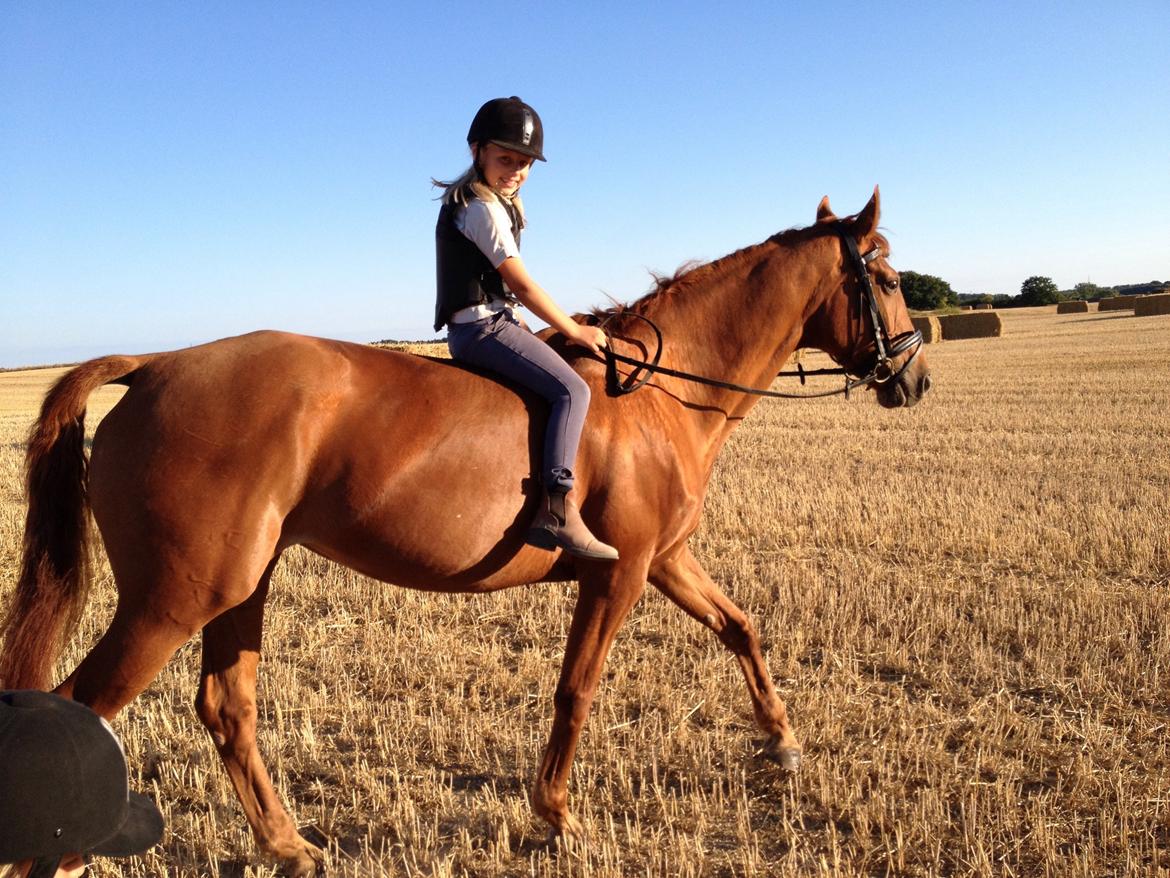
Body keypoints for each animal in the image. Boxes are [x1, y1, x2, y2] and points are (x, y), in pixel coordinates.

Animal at [2, 189, 931, 875]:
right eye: (886, 278)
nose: (915, 379)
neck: (656, 394)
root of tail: (155, 365)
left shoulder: (664, 560)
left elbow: (740, 626)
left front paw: (782, 744)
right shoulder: (620, 573)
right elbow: (576, 690)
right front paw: (556, 817)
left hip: (237, 585)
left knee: (228, 707)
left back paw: (287, 845)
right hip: (174, 598)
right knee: (84, 707)